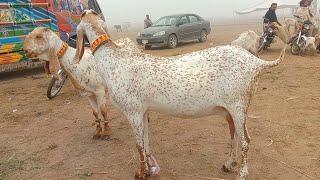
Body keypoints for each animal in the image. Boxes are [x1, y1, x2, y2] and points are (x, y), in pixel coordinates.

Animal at [73, 9, 288, 180]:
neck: (114, 61)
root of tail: (256, 63)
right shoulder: (142, 111)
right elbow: (146, 142)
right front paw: (150, 169)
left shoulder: (131, 111)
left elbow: (139, 146)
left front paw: (140, 173)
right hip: (230, 109)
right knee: (234, 134)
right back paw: (229, 165)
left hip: (238, 104)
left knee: (245, 140)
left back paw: (242, 173)